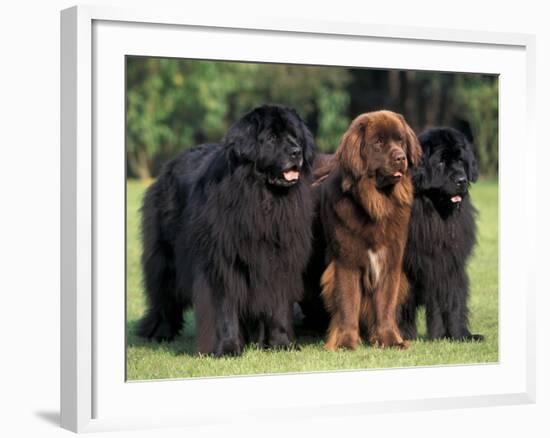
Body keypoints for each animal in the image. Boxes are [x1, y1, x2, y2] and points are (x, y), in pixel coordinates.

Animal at [137, 105, 316, 356]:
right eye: (272, 138)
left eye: (295, 137)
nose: (296, 152)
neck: (263, 199)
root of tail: (169, 165)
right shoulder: (220, 263)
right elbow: (224, 307)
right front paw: (228, 347)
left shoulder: (280, 260)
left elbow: (279, 306)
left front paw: (282, 343)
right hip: (166, 257)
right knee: (164, 294)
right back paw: (160, 332)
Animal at [310, 111, 422, 350]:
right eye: (378, 142)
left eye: (400, 140)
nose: (401, 157)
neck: (375, 204)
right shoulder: (346, 262)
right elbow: (347, 302)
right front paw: (345, 342)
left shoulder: (390, 261)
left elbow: (386, 305)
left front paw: (390, 340)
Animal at [402, 126, 484, 342]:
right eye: (440, 162)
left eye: (460, 161)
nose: (461, 180)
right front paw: (401, 335)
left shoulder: (448, 264)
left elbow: (453, 300)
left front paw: (457, 335)